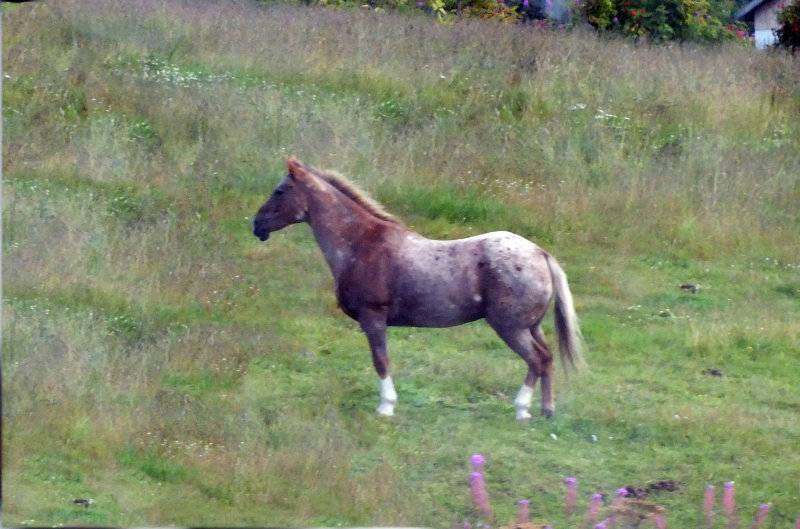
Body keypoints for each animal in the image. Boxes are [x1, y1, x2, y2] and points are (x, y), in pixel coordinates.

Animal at [253, 158, 584, 420]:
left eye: (280, 190)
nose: (257, 225)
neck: (361, 243)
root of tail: (540, 254)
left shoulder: (373, 318)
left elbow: (381, 360)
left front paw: (386, 406)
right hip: (532, 326)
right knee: (547, 360)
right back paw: (545, 410)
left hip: (511, 327)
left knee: (536, 360)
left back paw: (522, 410)